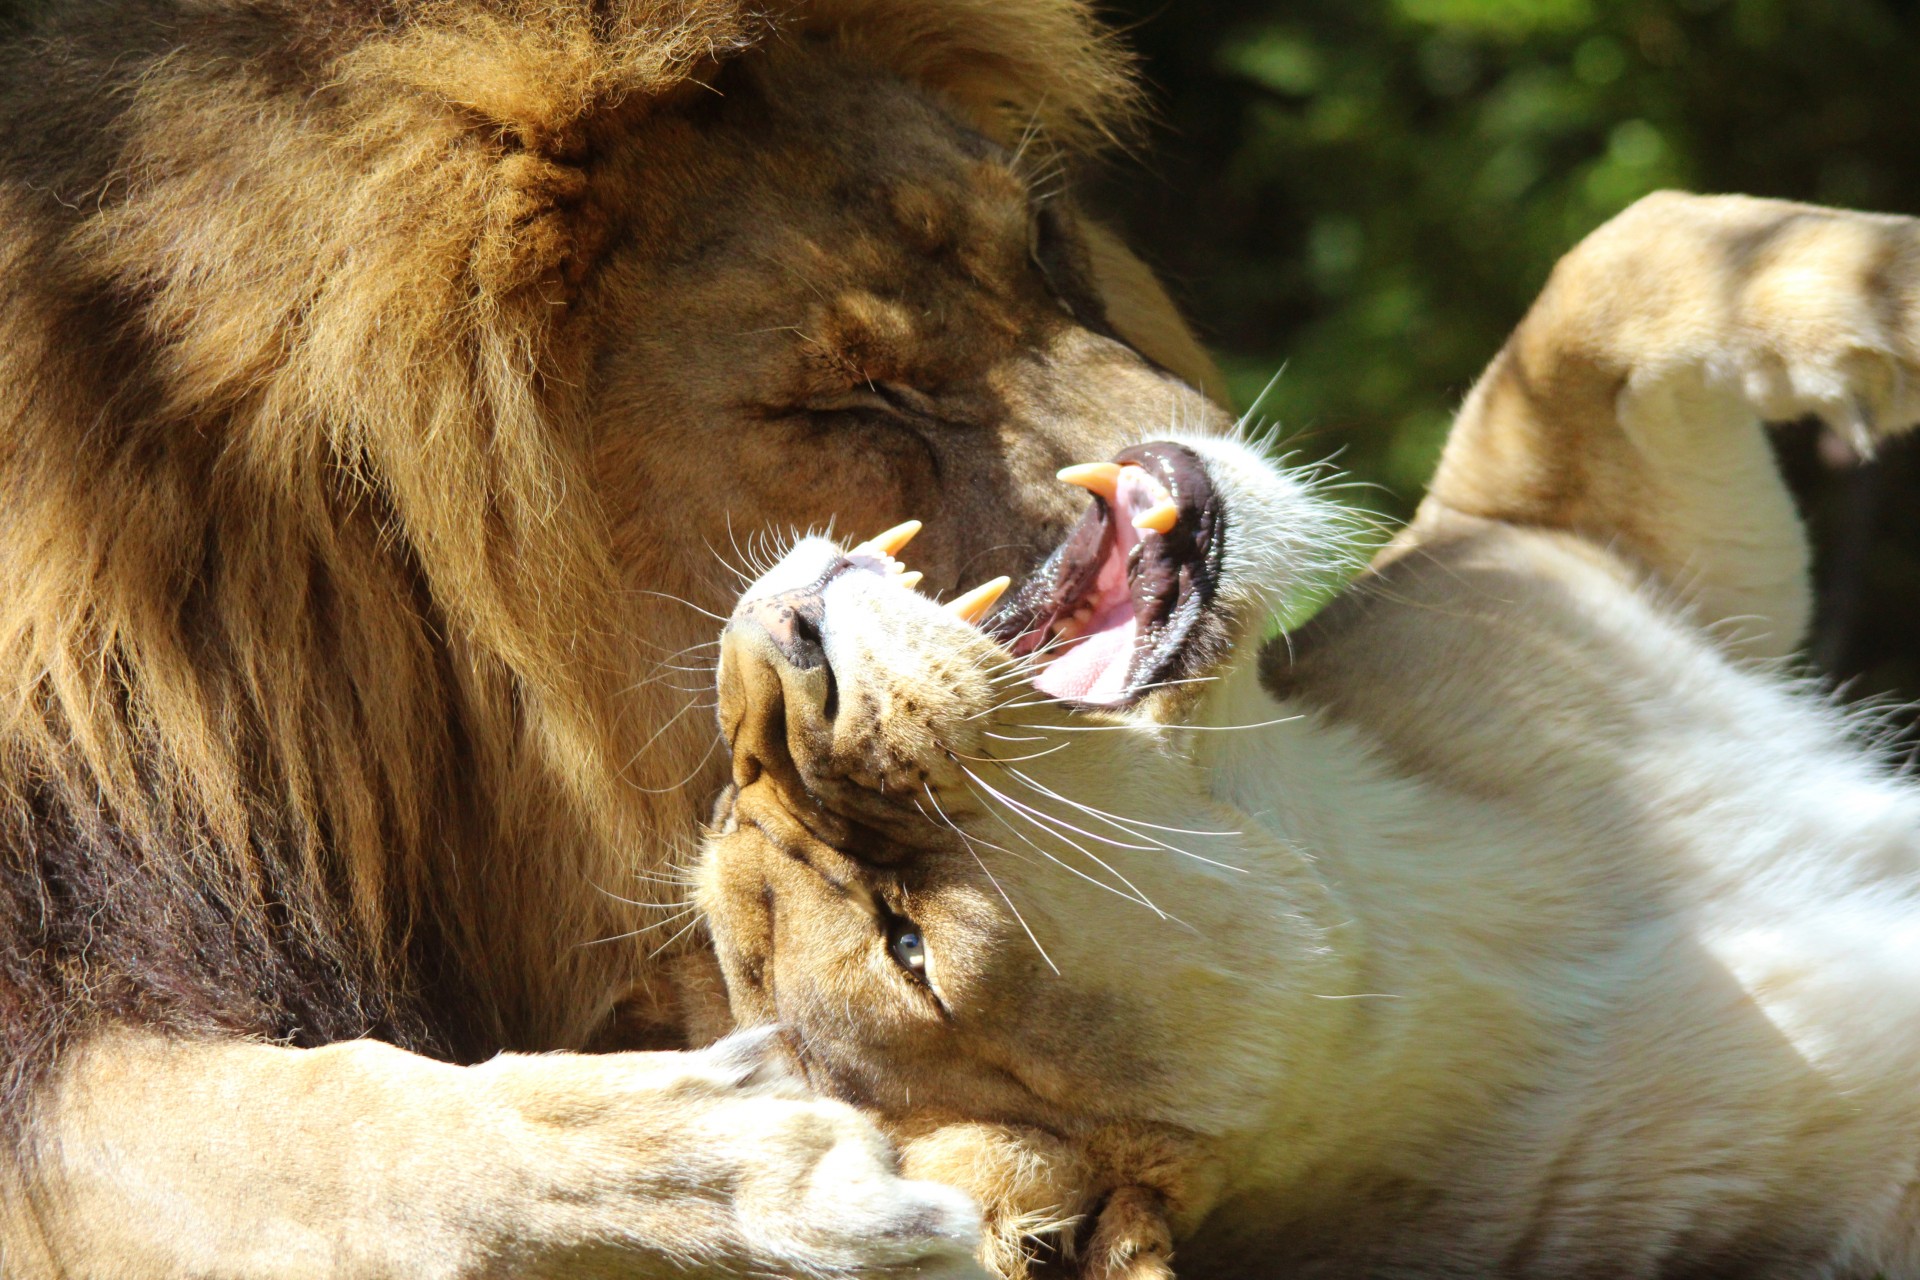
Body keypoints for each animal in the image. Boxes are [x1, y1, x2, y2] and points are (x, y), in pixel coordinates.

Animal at [698, 192, 1920, 1280]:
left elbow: (1617, 264)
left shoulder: (1565, 550)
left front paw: (1891, 293)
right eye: (908, 948)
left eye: (730, 802)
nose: (766, 667)